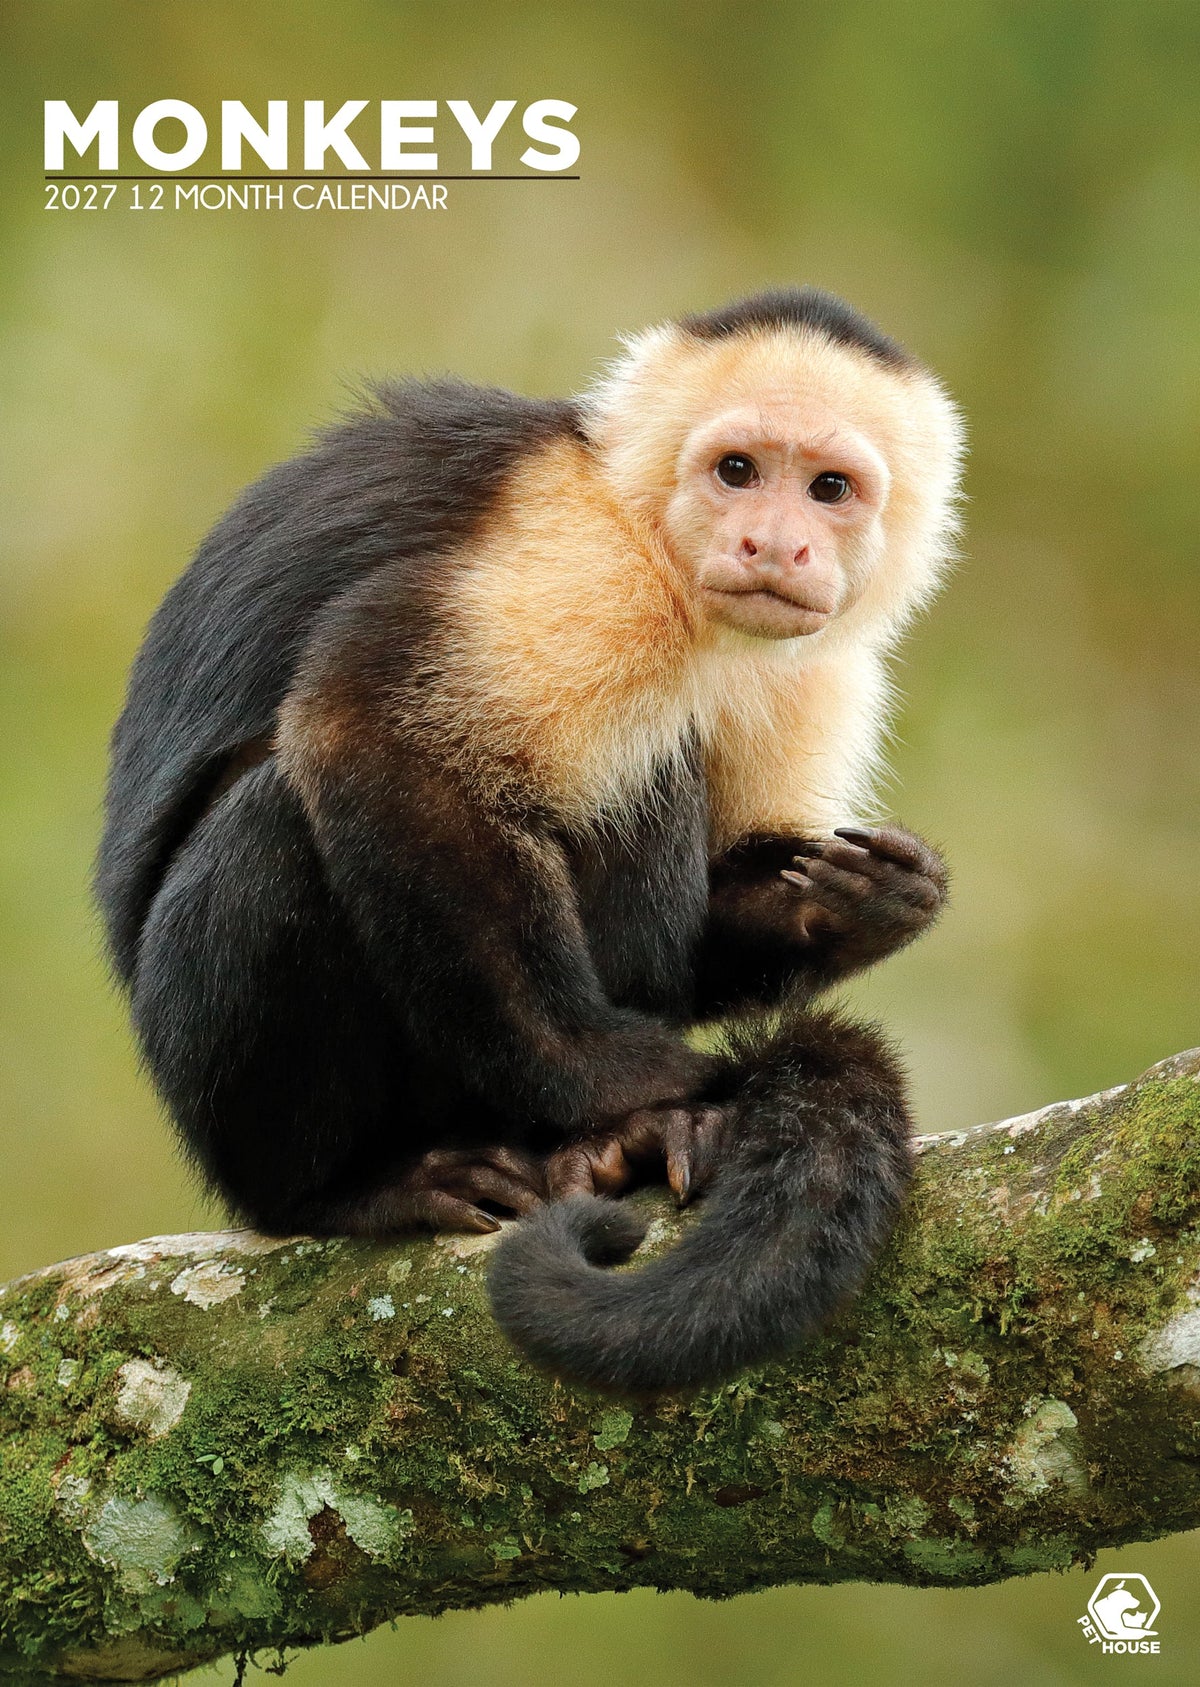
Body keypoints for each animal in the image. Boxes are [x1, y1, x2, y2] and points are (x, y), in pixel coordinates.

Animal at [96, 287, 964, 1394]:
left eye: (830, 489)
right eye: (738, 471)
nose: (776, 544)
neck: (655, 548)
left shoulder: (820, 666)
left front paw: (856, 907)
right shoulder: (583, 564)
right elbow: (371, 732)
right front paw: (628, 1081)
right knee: (287, 819)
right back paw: (352, 1187)